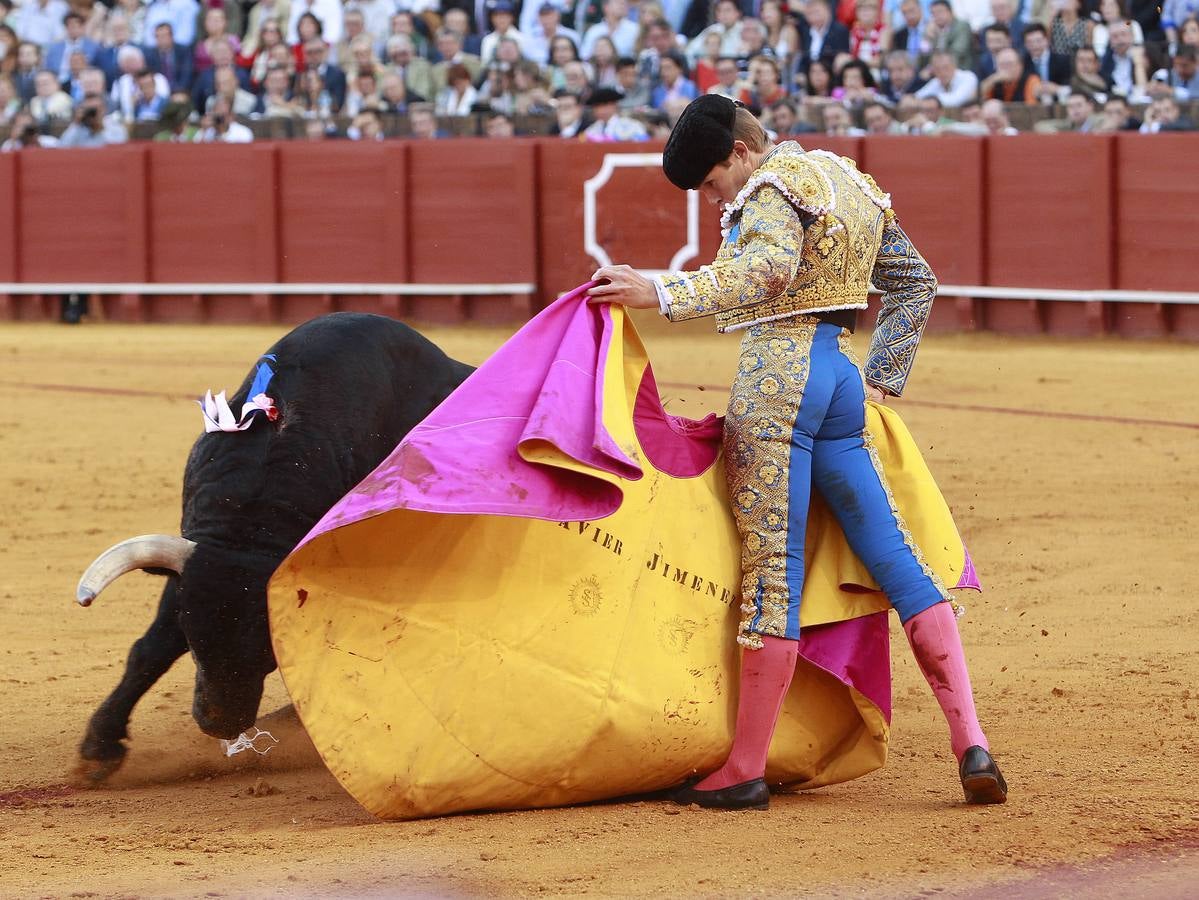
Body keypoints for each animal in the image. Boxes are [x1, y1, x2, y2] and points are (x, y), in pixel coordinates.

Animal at [73, 313, 477, 776]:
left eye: (265, 651)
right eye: (196, 642)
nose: (220, 724)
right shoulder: (191, 569)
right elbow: (153, 645)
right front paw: (100, 746)